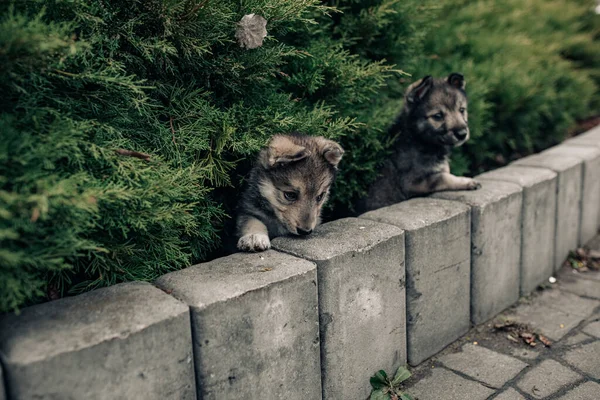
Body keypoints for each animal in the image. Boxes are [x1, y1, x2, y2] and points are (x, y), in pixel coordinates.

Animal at [358, 72, 480, 212]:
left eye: (462, 110)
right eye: (438, 116)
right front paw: (467, 181)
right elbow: (441, 177)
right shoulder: (411, 182)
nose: (462, 134)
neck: (419, 139)